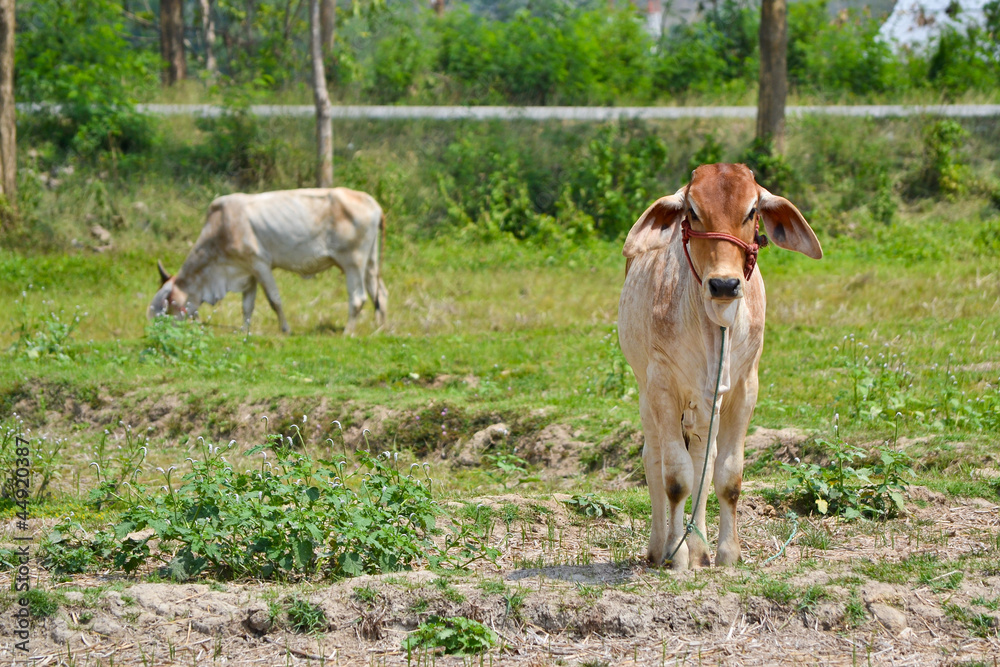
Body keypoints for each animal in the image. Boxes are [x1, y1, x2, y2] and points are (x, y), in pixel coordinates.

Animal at [148, 187, 386, 334]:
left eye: (166, 306)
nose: (157, 329)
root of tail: (374, 204)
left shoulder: (260, 264)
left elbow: (274, 300)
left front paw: (285, 329)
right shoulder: (248, 272)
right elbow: (247, 306)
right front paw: (244, 330)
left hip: (353, 263)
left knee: (358, 298)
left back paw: (347, 332)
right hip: (370, 263)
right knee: (380, 293)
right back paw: (381, 327)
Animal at [616, 163, 820, 568]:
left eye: (752, 211)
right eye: (693, 211)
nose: (724, 284)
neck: (716, 324)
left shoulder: (744, 387)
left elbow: (727, 475)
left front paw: (727, 552)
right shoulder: (661, 385)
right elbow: (675, 478)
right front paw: (676, 557)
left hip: (705, 404)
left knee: (703, 460)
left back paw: (699, 545)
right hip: (648, 393)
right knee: (654, 458)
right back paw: (661, 545)